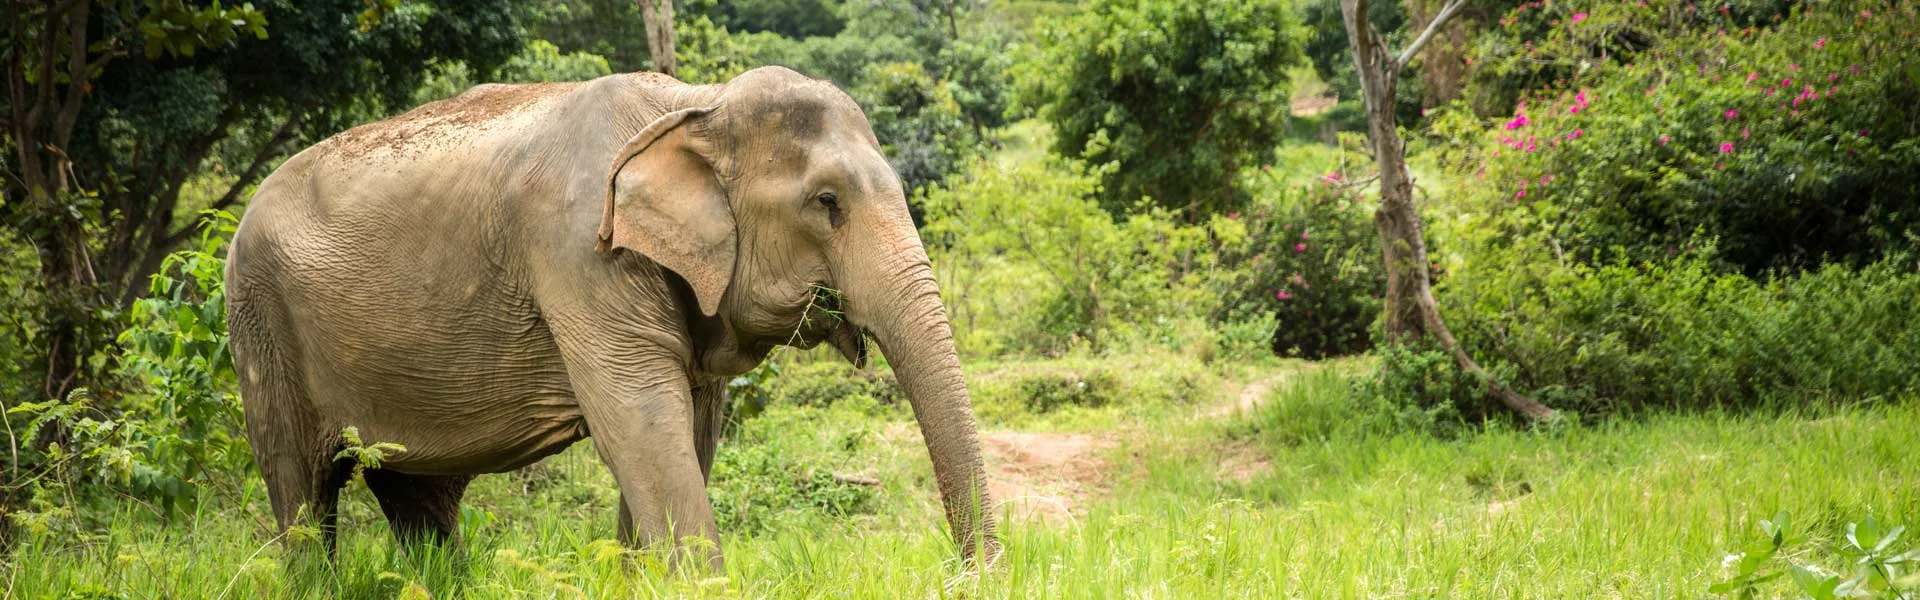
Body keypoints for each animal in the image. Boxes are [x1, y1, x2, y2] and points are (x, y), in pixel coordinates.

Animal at [223, 66, 998, 568]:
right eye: (826, 203)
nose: (967, 572)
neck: (694, 104)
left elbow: (690, 430)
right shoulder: (578, 253)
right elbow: (641, 423)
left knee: (419, 497)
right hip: (258, 319)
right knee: (301, 487)